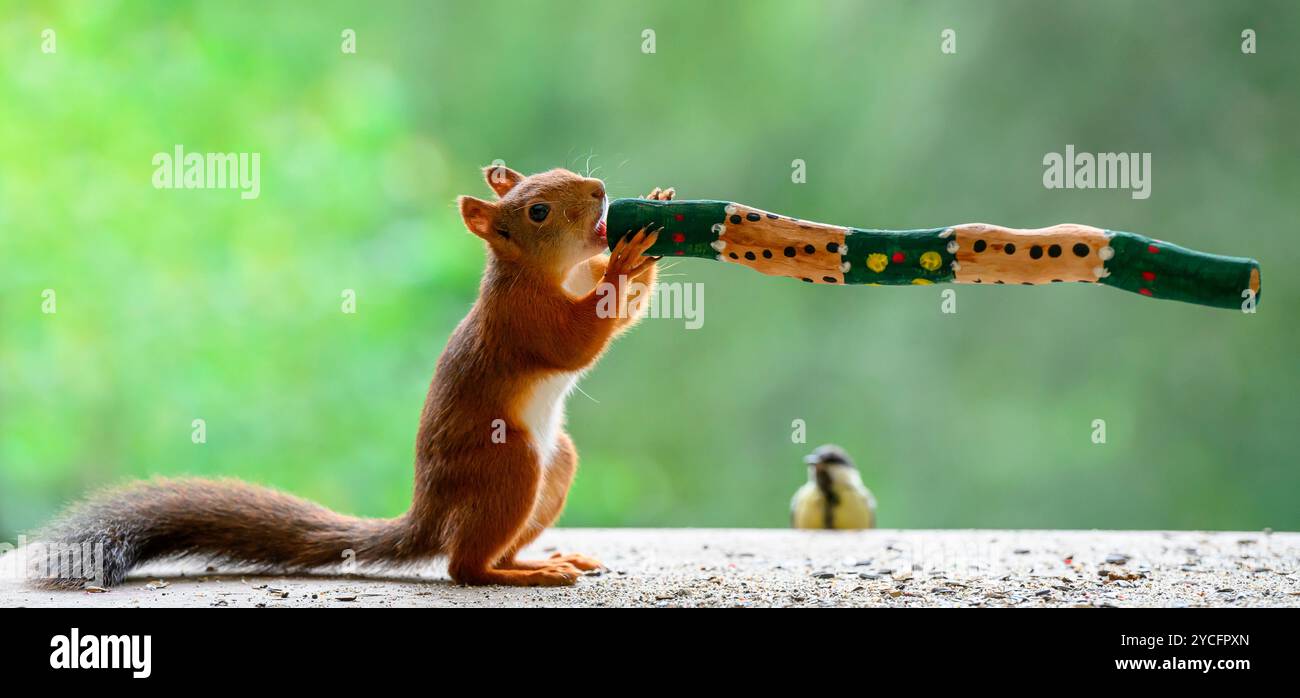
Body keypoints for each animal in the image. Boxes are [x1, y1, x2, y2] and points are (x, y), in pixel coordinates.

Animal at [32, 165, 670, 584]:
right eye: (538, 210)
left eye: (561, 173)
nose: (600, 191)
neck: (538, 274)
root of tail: (428, 515)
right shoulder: (522, 320)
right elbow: (574, 342)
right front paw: (625, 258)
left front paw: (649, 225)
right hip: (507, 461)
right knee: (464, 566)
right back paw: (517, 575)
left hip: (555, 464)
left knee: (496, 548)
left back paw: (542, 560)